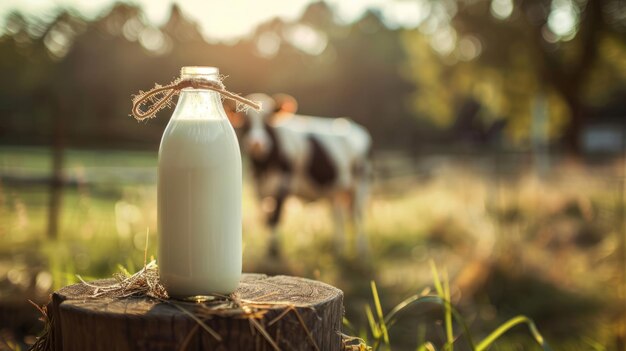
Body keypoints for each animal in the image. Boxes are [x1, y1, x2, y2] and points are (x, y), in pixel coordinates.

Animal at [224, 93, 370, 258]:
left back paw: (362, 252)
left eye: (268, 120)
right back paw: (338, 249)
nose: (257, 144)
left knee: (358, 217)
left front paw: (274, 250)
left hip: (361, 183)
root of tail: (352, 125)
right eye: (245, 121)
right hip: (336, 190)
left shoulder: (284, 184)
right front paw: (270, 248)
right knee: (338, 217)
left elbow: (276, 217)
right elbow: (266, 218)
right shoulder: (258, 189)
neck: (263, 168)